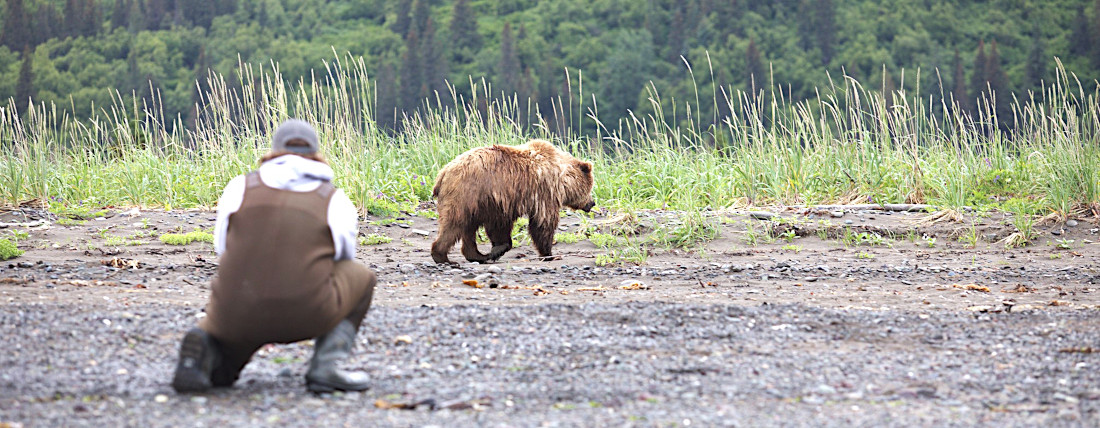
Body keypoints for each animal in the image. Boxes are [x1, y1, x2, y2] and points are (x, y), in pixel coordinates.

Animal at [431, 138, 598, 261]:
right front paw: (548, 253)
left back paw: (477, 256)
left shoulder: (498, 203)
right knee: (454, 224)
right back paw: (442, 256)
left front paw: (496, 250)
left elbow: (499, 226)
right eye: (590, 188)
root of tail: (443, 172)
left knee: (467, 228)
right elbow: (543, 223)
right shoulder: (543, 192)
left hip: (473, 201)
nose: (592, 203)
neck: (561, 178)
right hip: (466, 194)